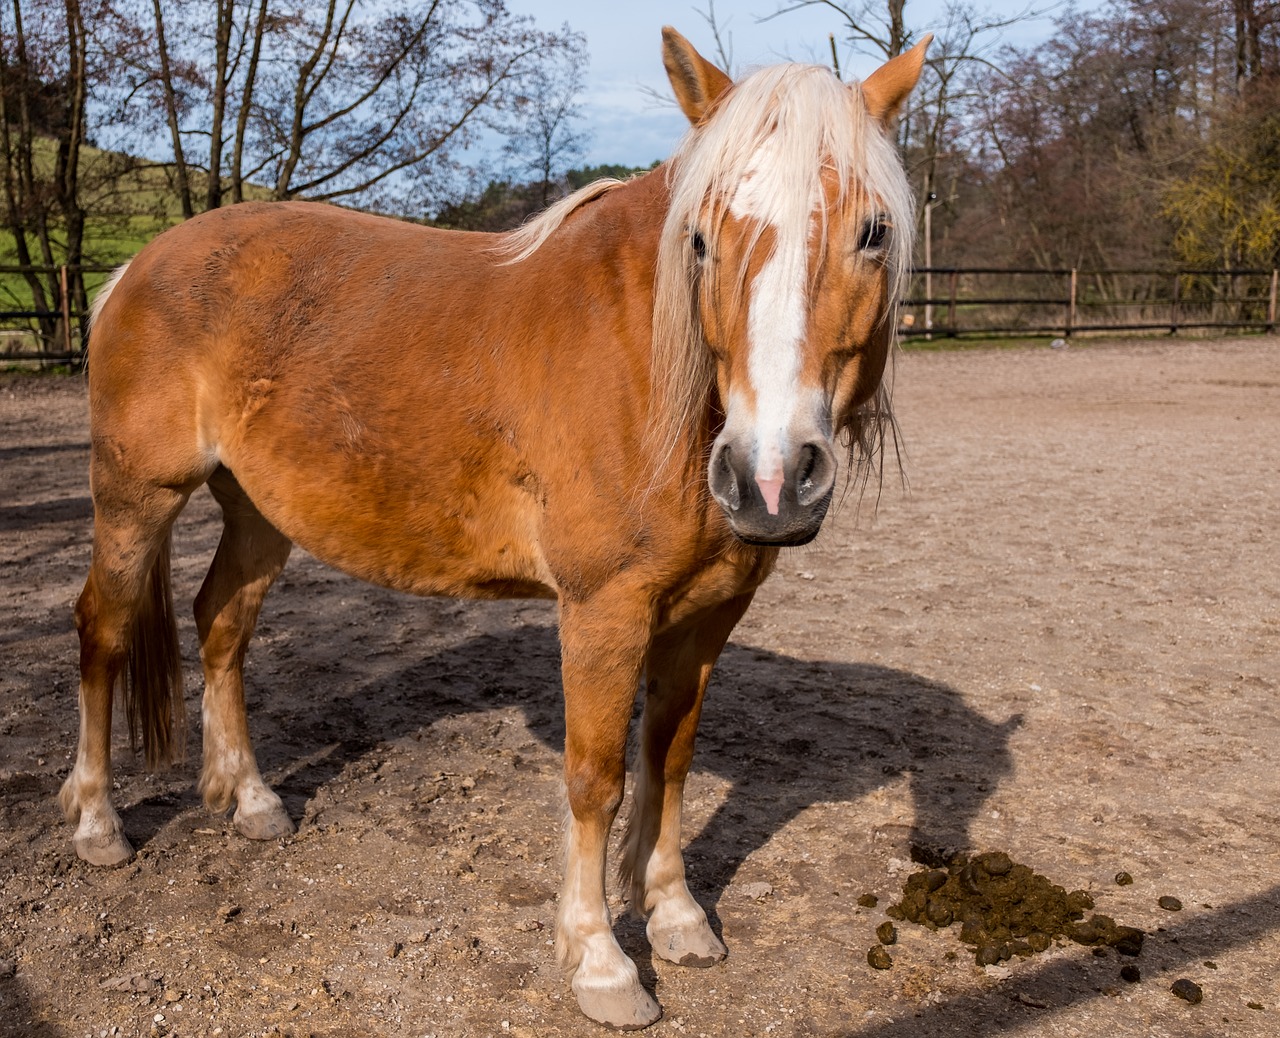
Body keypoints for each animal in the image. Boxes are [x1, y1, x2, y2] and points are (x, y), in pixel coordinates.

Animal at [60, 26, 931, 1029]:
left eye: (872, 231)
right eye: (702, 238)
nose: (772, 478)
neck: (654, 368)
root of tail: (136, 269)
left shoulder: (708, 615)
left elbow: (669, 761)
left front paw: (676, 917)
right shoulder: (603, 611)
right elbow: (597, 778)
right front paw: (601, 962)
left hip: (258, 513)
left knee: (221, 627)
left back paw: (247, 801)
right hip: (138, 496)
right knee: (102, 631)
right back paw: (96, 823)